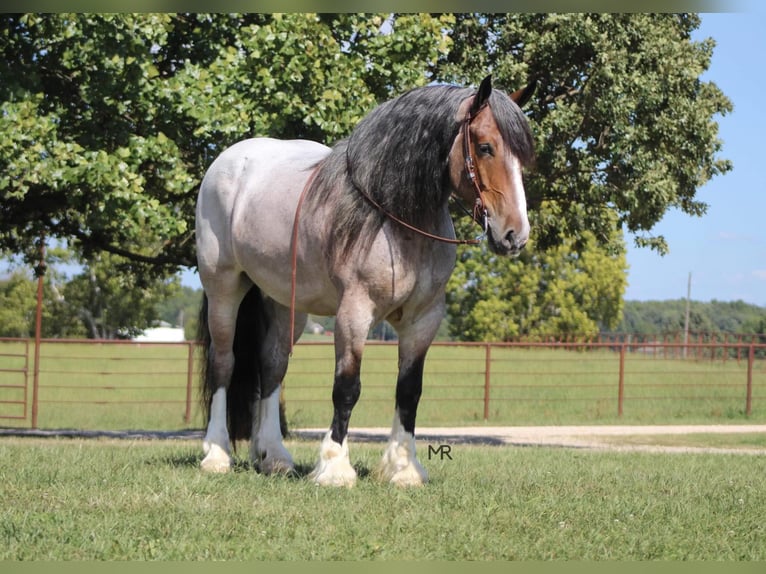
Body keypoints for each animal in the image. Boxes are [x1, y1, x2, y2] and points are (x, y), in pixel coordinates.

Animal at [195, 76, 536, 488]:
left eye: (523, 156)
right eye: (485, 147)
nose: (515, 235)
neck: (394, 218)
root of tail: (228, 160)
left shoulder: (424, 319)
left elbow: (409, 390)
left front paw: (403, 467)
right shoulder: (354, 313)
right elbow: (347, 388)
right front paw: (334, 467)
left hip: (282, 301)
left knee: (272, 366)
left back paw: (273, 456)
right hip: (223, 288)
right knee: (223, 364)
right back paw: (216, 454)